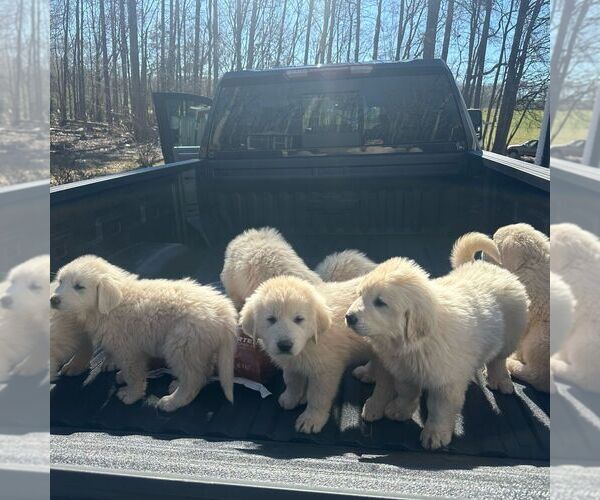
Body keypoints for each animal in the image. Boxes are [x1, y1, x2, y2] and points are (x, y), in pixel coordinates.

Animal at [51, 256, 238, 412]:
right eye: (60, 281)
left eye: (79, 287)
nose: (53, 299)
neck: (111, 306)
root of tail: (225, 312)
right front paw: (121, 376)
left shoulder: (128, 350)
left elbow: (133, 374)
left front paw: (130, 395)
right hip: (198, 346)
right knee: (202, 371)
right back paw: (176, 384)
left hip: (181, 342)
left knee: (193, 379)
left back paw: (172, 402)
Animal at [239, 276, 370, 436]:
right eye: (271, 319)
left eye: (299, 319)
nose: (285, 345)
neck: (308, 343)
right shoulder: (291, 364)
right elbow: (292, 381)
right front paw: (291, 398)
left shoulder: (326, 371)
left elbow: (318, 396)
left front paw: (311, 419)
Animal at [344, 233, 528, 450]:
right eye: (360, 294)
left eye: (380, 302)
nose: (349, 317)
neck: (415, 341)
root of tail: (485, 266)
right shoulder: (404, 368)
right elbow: (406, 391)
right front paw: (399, 409)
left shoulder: (445, 381)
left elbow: (439, 409)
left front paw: (434, 435)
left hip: (511, 333)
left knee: (498, 360)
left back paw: (500, 379)